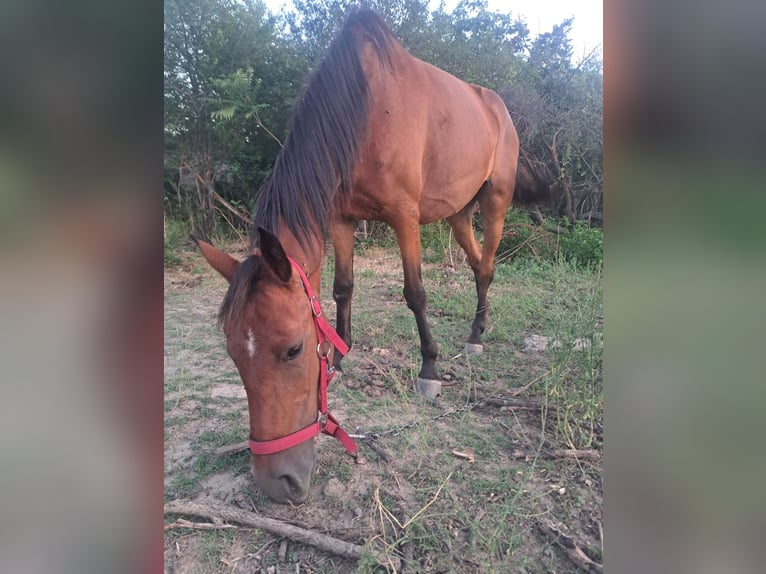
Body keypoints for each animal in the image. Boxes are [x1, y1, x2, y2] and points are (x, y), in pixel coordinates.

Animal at [195, 9, 548, 504]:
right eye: (232, 353)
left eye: (293, 349)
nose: (275, 484)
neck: (362, 110)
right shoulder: (341, 218)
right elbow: (342, 288)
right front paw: (340, 358)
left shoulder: (404, 216)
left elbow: (415, 293)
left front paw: (429, 368)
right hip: (458, 214)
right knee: (479, 264)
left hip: (495, 202)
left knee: (489, 266)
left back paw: (476, 335)